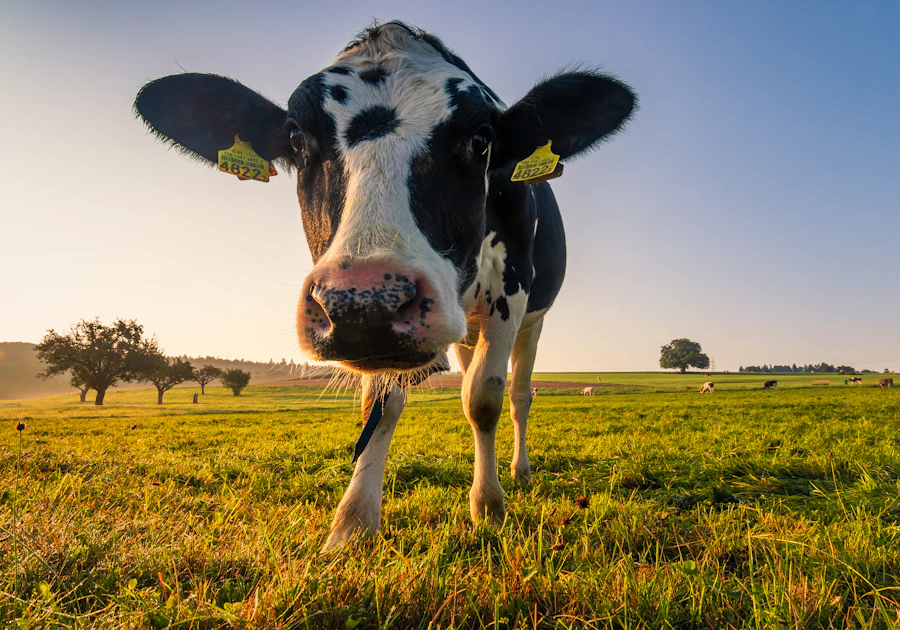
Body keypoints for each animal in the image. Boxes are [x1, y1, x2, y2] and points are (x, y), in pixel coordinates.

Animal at [133, 21, 635, 550]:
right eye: (296, 139)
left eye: (481, 140)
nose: (365, 302)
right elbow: (380, 406)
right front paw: (353, 522)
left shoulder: (511, 288)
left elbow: (484, 398)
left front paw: (488, 507)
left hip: (532, 322)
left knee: (519, 396)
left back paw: (518, 469)